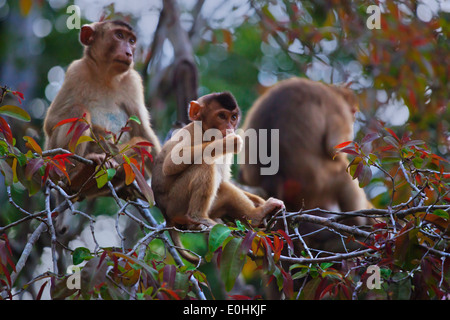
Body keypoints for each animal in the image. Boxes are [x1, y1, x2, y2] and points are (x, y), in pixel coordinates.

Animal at [153, 92, 284, 262]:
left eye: (233, 117)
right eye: (222, 116)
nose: (229, 127)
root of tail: (165, 213)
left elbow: (224, 181)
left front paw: (261, 201)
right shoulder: (191, 133)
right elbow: (171, 164)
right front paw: (229, 142)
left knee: (224, 188)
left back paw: (257, 215)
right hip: (176, 201)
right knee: (205, 163)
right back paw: (199, 217)